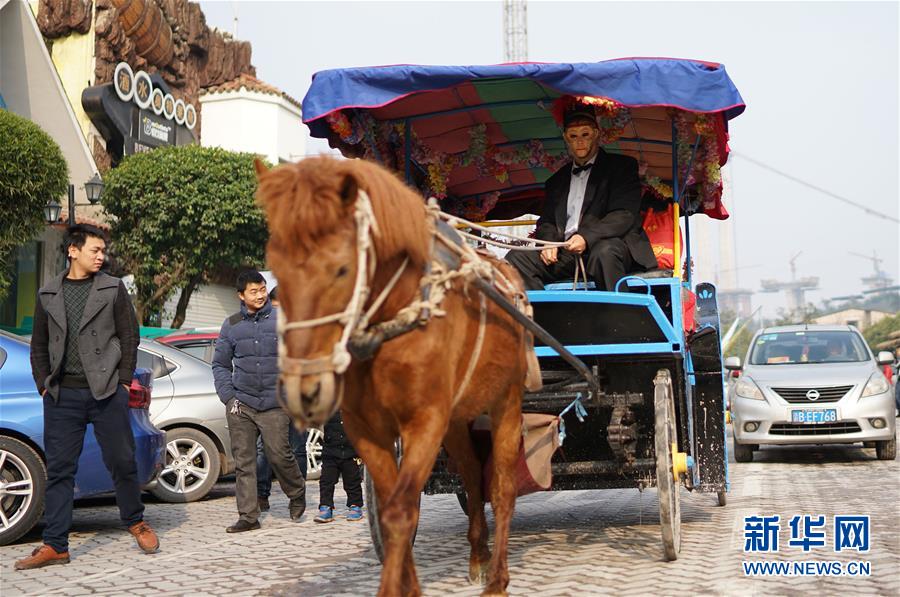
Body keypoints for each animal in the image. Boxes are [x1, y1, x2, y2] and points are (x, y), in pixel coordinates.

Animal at [255, 156, 536, 592]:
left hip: (506, 400)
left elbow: (401, 510)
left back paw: (497, 580)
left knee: (503, 486)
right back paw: (479, 554)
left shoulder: (424, 422)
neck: (394, 320)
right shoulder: (366, 429)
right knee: (474, 476)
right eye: (277, 271)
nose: (304, 388)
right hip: (458, 420)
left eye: (342, 270)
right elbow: (391, 512)